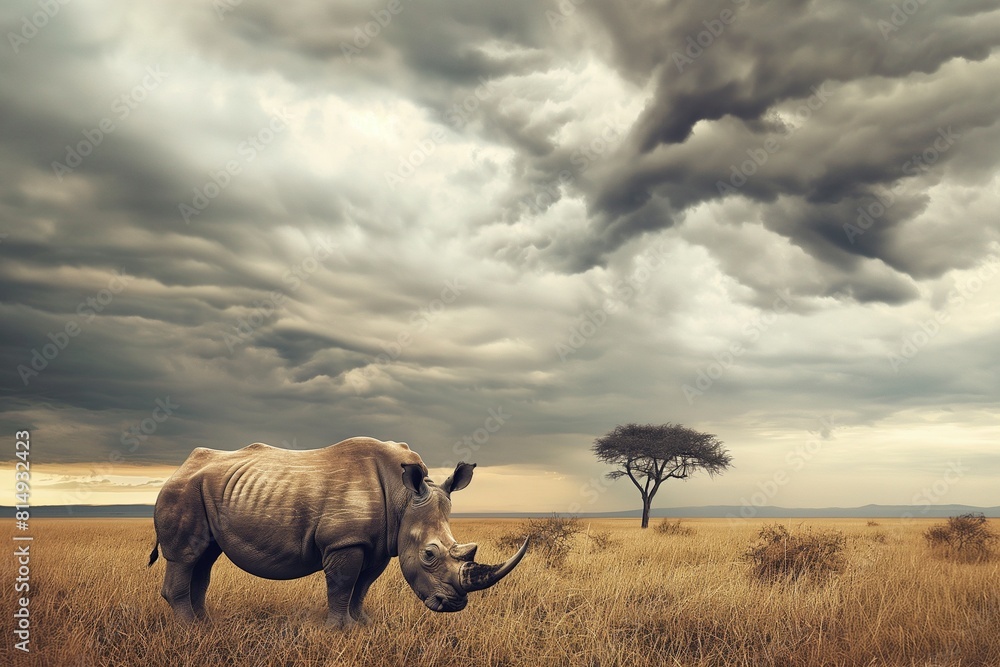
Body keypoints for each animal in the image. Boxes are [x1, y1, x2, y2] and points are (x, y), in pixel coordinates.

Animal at [148, 437, 528, 628]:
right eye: (429, 555)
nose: (454, 605)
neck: (405, 498)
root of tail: (180, 467)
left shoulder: (378, 543)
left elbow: (362, 586)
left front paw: (362, 625)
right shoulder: (344, 541)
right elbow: (343, 584)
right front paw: (337, 630)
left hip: (204, 490)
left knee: (205, 558)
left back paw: (206, 625)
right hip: (182, 491)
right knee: (186, 557)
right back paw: (190, 630)